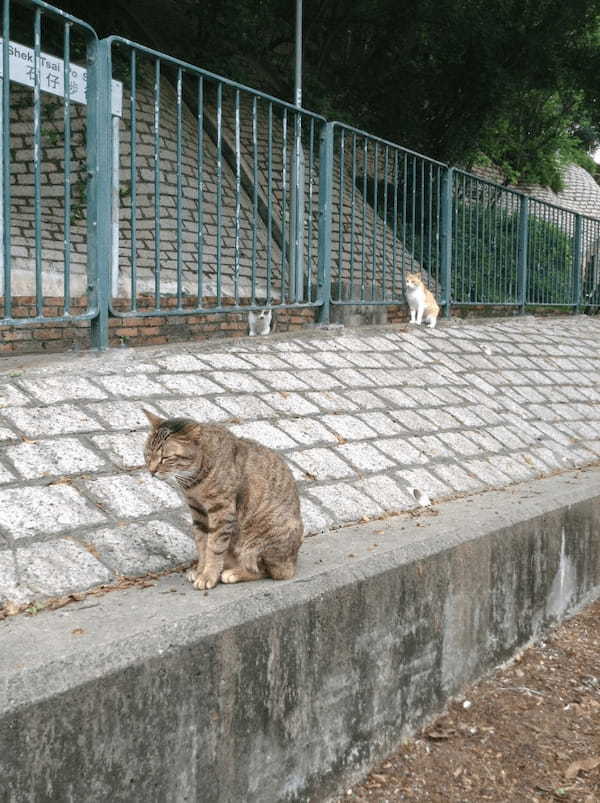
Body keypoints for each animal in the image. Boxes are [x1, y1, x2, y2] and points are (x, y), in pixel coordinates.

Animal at [143, 408, 302, 592]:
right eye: (148, 454)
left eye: (166, 458)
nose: (151, 471)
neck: (194, 481)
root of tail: (293, 562)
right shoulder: (198, 511)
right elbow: (202, 544)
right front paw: (201, 570)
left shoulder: (221, 511)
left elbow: (214, 547)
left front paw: (208, 575)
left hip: (261, 538)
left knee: (268, 571)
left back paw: (235, 573)